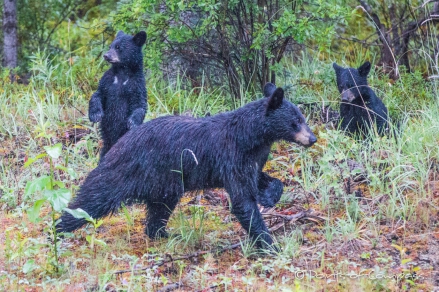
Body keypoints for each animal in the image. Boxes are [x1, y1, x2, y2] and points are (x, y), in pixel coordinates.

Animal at [59, 84, 320, 249]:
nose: (312, 138)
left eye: (302, 118)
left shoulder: (251, 157)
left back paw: (163, 233)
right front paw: (268, 244)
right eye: (296, 122)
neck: (252, 137)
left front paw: (269, 196)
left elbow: (261, 179)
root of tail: (121, 140)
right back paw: (59, 227)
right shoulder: (231, 154)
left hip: (164, 184)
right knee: (93, 198)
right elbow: (242, 200)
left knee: (159, 210)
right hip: (126, 171)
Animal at [89, 30, 148, 161]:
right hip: (107, 142)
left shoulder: (137, 85)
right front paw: (95, 114)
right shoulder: (107, 81)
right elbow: (97, 95)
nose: (106, 55)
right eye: (110, 46)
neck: (122, 73)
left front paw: (132, 122)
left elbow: (140, 104)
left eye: (118, 47)